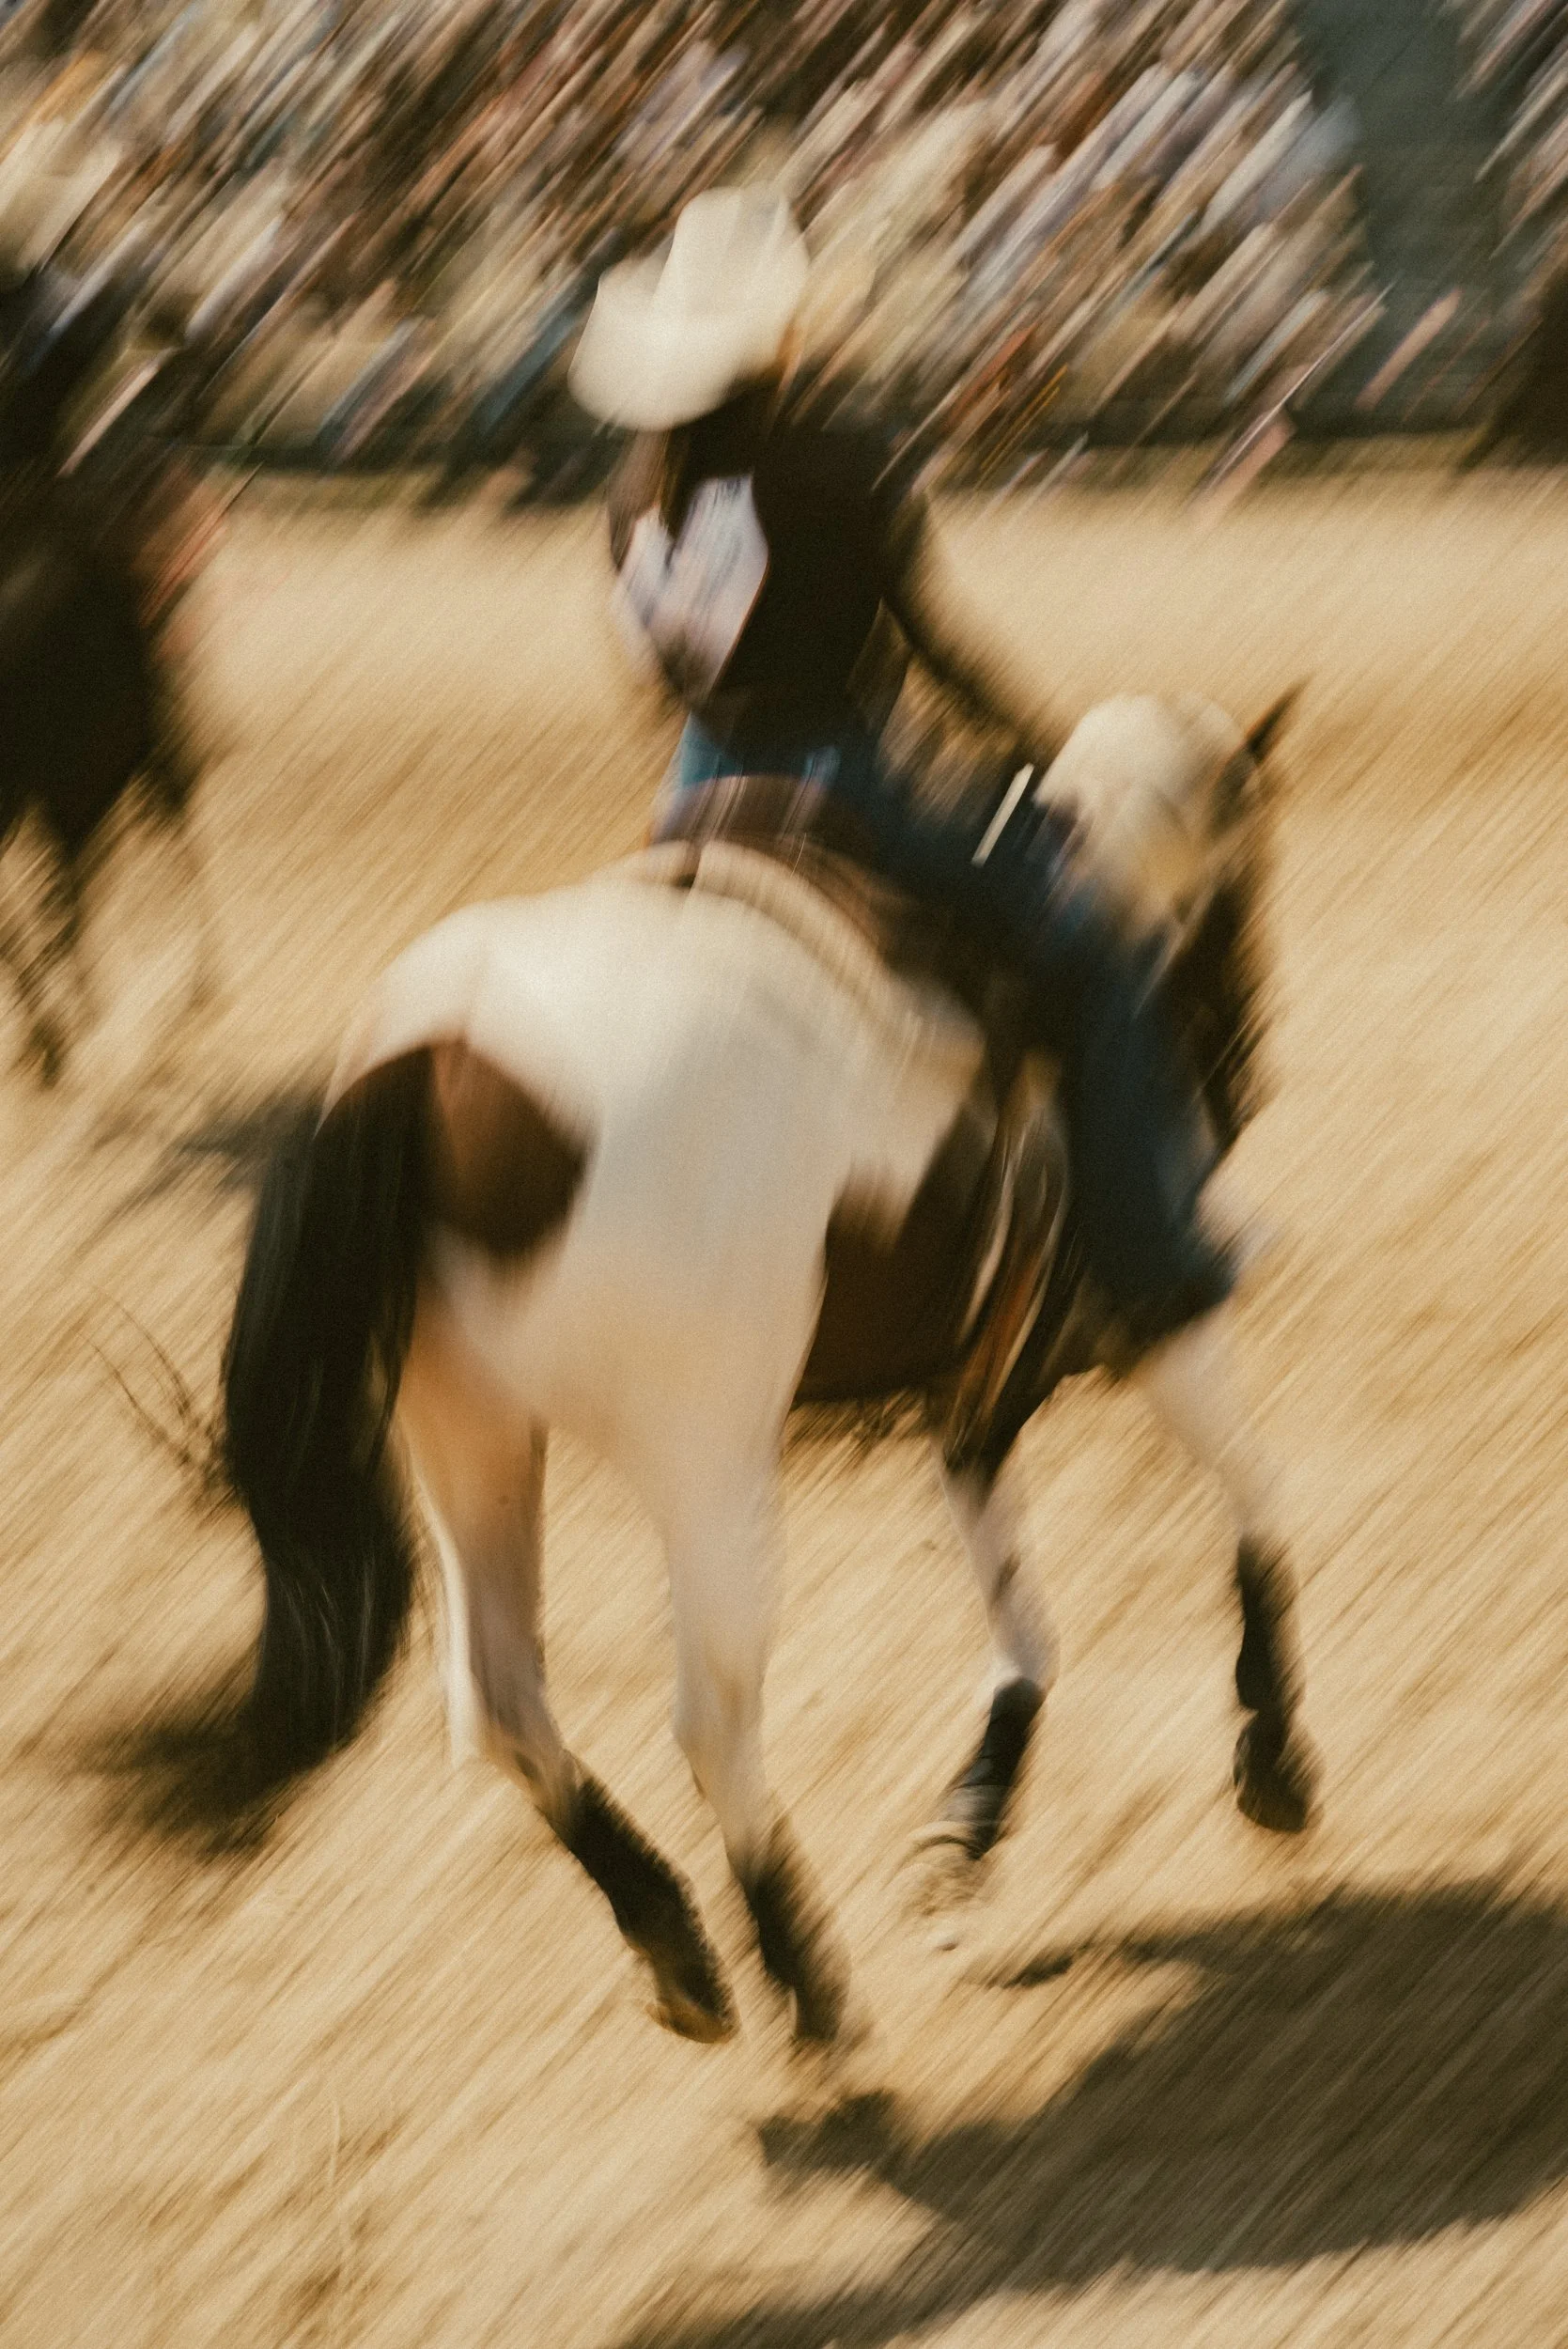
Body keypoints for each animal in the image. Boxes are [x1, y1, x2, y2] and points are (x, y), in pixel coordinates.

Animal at [207, 688, 1311, 2049]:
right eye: (1242, 888)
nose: (1242, 1065)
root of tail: (431, 1055)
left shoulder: (973, 1397)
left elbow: (1023, 1625)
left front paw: (968, 1825)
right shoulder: (1152, 1318)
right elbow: (1255, 1495)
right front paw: (1274, 1754)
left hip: (471, 1437)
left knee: (504, 1699)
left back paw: (680, 1950)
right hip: (711, 1465)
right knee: (712, 1721)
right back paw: (811, 1987)